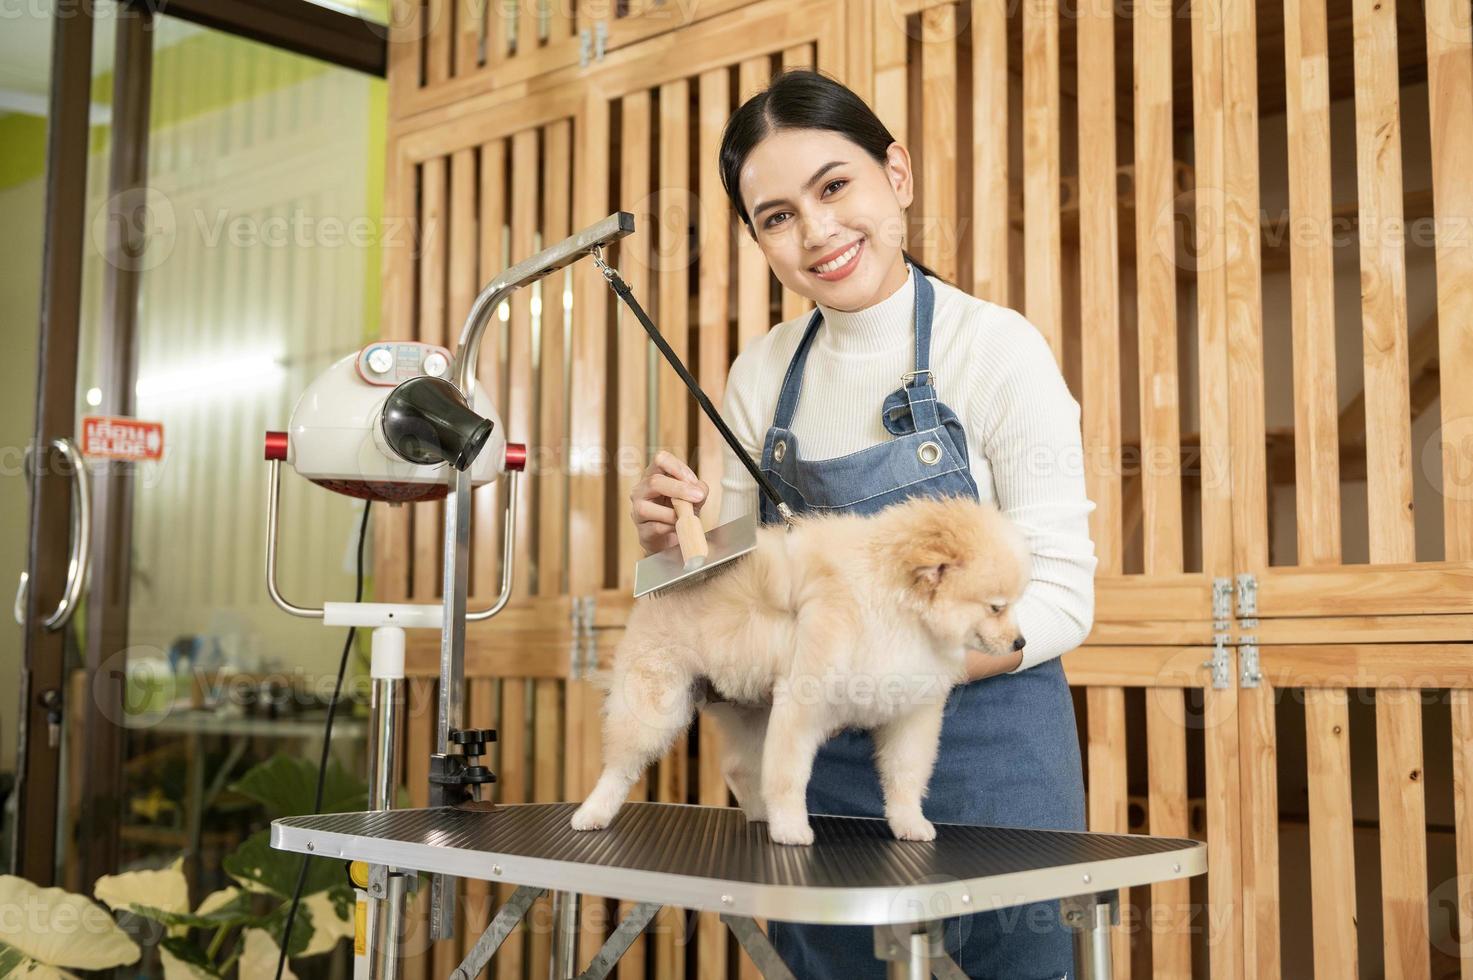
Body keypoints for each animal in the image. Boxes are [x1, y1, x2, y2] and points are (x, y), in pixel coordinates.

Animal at [568, 492, 1031, 842]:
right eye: (996, 607)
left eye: (1014, 604)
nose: (1020, 642)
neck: (892, 606)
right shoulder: (802, 705)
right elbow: (788, 775)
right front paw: (791, 830)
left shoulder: (910, 713)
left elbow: (905, 777)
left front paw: (909, 824)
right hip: (655, 703)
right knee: (621, 765)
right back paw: (592, 813)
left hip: (750, 709)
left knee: (738, 767)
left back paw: (758, 813)